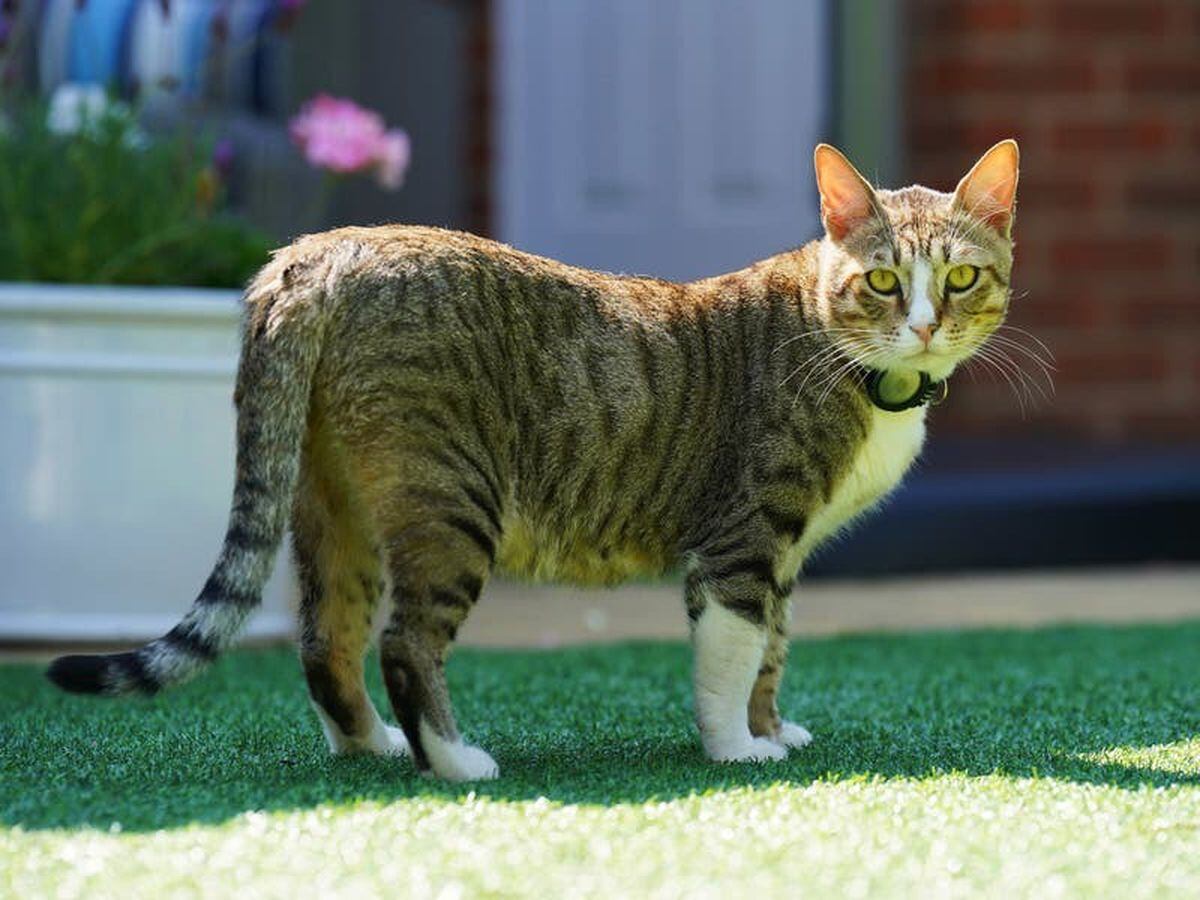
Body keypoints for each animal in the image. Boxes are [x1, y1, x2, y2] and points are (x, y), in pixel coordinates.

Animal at [49, 139, 1022, 782]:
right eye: (884, 281)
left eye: (960, 278)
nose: (925, 325)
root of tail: (318, 253)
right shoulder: (745, 535)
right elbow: (736, 650)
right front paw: (737, 750)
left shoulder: (782, 554)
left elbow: (774, 649)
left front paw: (771, 729)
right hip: (451, 498)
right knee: (404, 643)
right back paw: (454, 761)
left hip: (333, 502)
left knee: (327, 639)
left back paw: (372, 746)